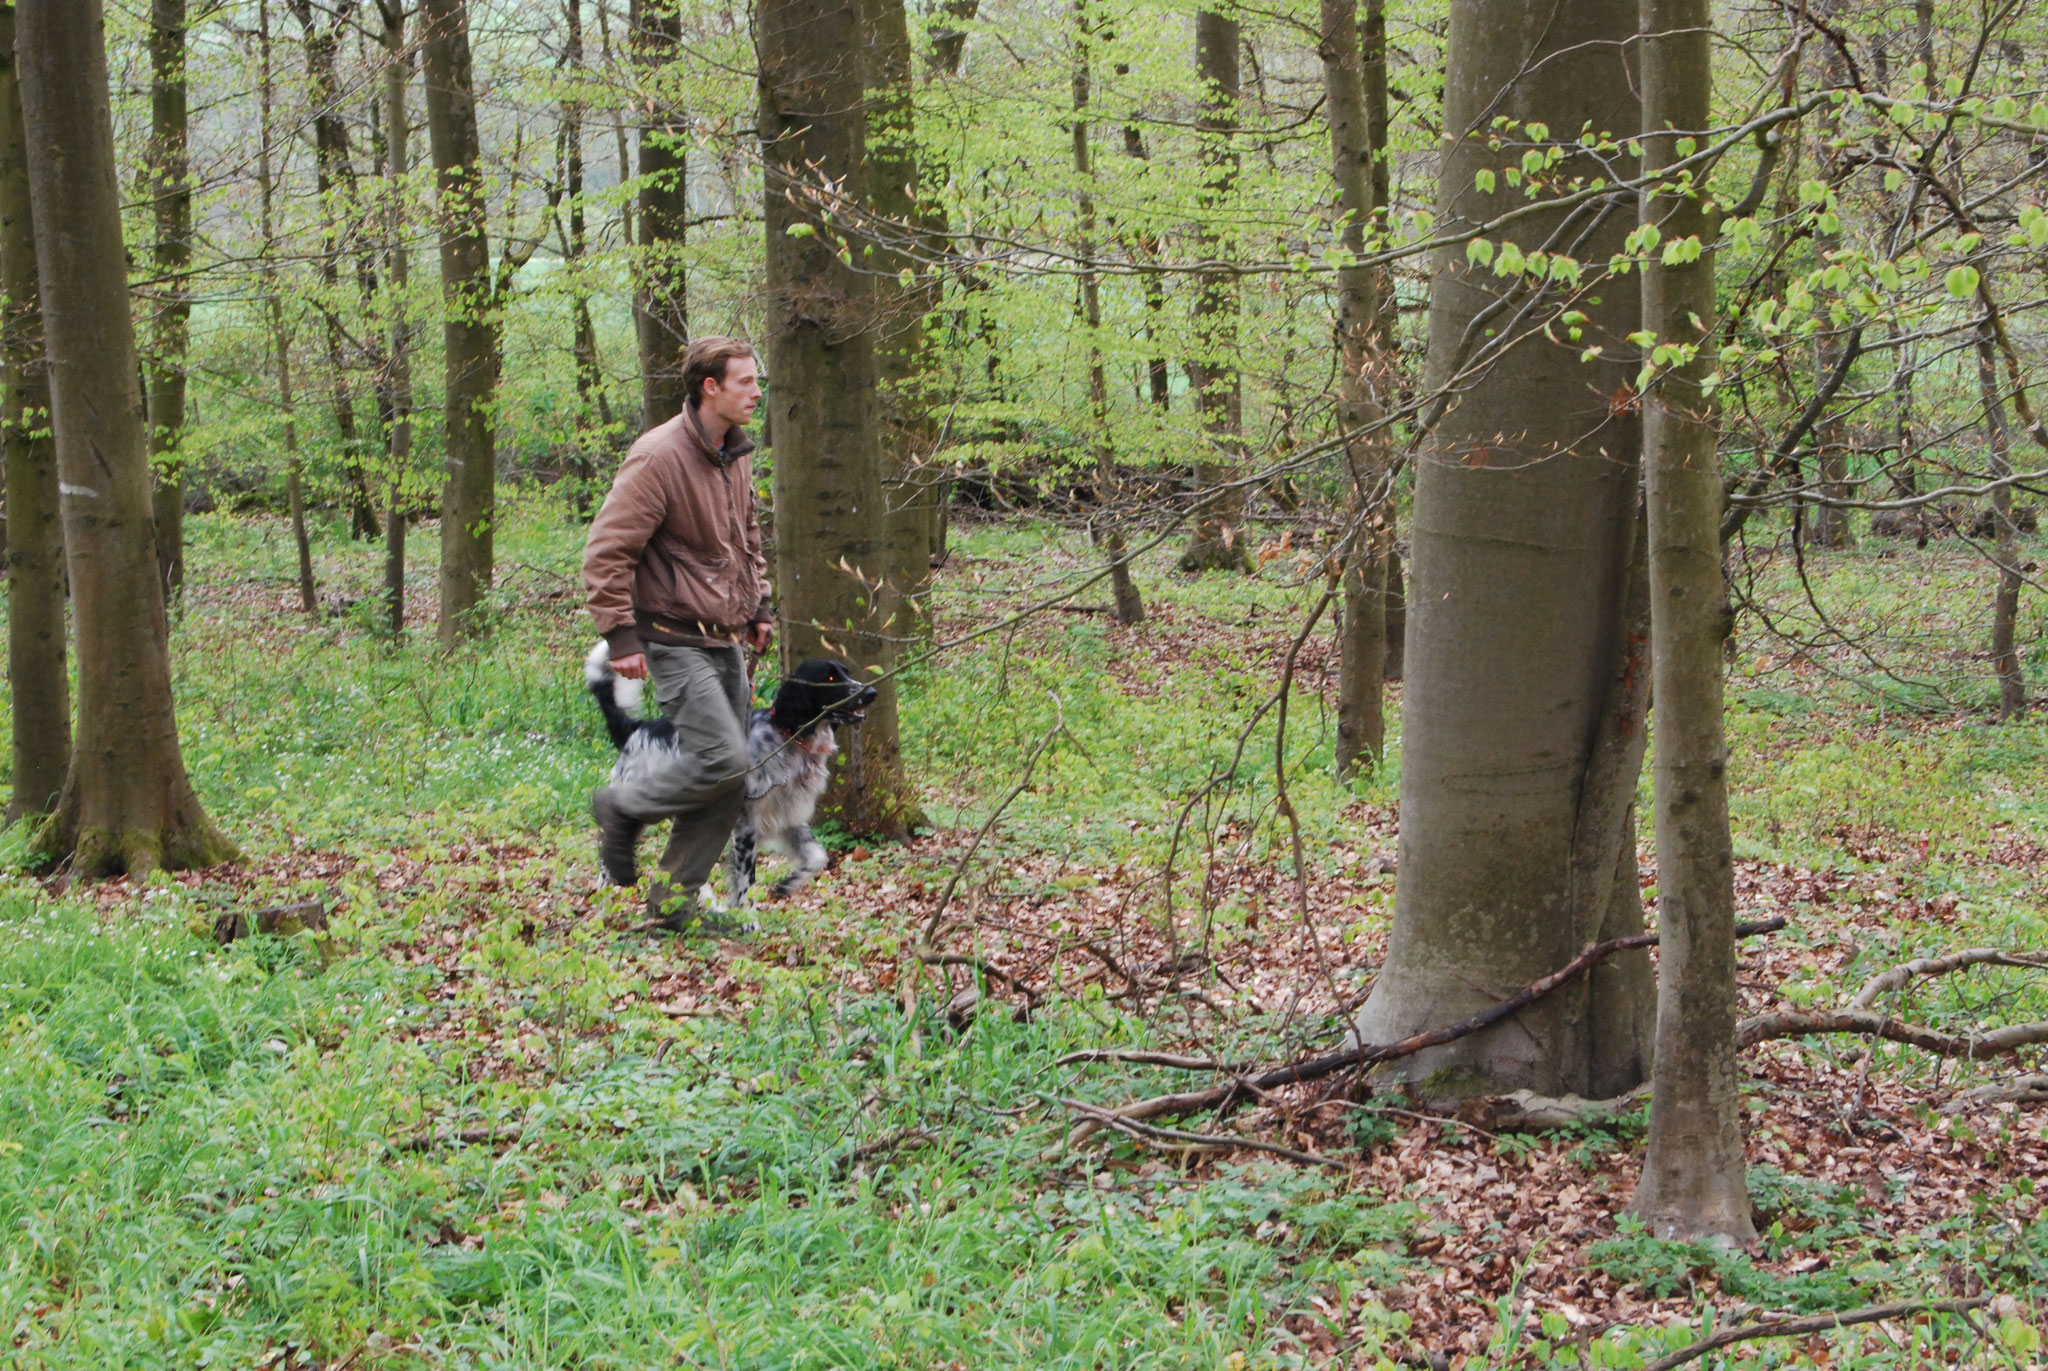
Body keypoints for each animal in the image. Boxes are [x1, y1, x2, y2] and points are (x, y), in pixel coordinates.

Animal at [581, 643, 876, 909]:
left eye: (846, 672)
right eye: (830, 677)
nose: (872, 692)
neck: (786, 739)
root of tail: (638, 728)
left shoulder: (789, 816)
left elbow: (817, 857)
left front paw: (787, 883)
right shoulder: (746, 826)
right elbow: (746, 883)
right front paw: (748, 922)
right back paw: (604, 897)